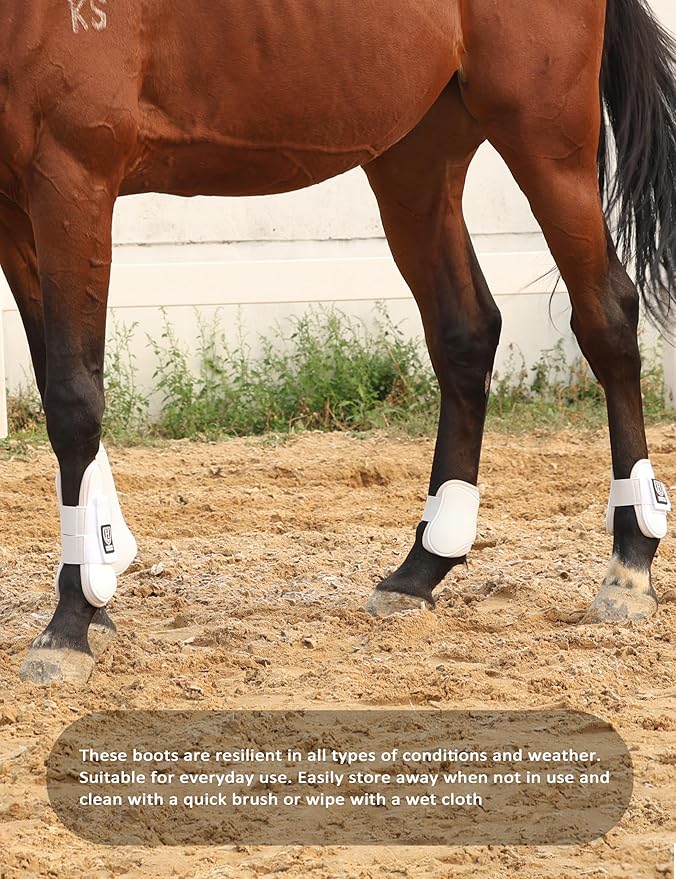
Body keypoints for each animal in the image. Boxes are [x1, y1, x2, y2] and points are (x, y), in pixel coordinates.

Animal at [1, 0, 675, 685]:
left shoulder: (72, 180)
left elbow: (74, 402)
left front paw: (70, 626)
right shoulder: (15, 211)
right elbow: (56, 383)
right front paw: (98, 597)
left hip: (545, 141)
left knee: (607, 318)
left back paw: (629, 566)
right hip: (416, 164)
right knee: (466, 335)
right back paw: (420, 569)